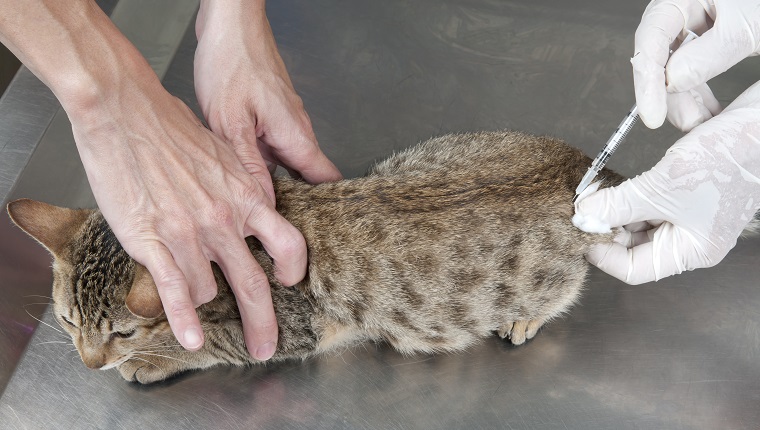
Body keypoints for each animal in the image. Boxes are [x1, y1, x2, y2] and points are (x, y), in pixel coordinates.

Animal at [7, 130, 624, 382]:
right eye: (67, 321)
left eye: (124, 333)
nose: (89, 363)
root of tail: (578, 168)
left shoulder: (285, 329)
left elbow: (214, 344)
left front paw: (155, 358)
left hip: (544, 273)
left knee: (570, 284)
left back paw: (525, 318)